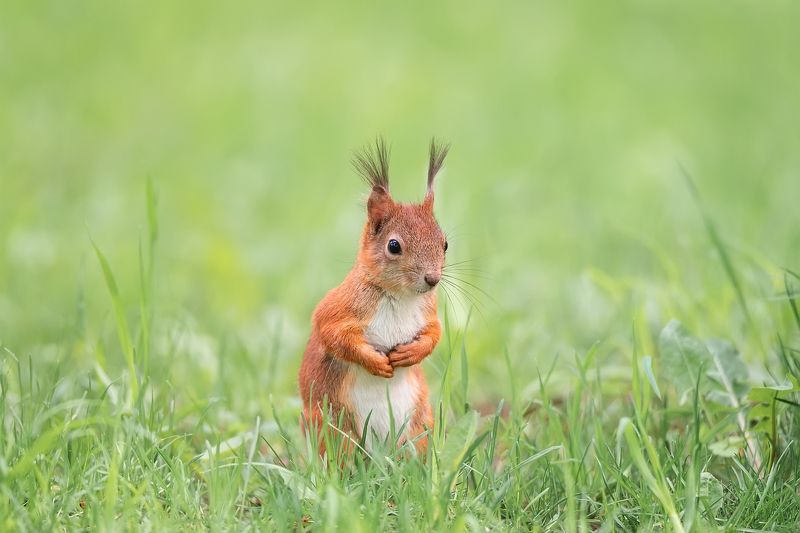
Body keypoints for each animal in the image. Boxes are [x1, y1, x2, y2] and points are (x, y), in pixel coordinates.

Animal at [299, 138, 450, 456]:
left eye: (444, 244)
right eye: (393, 245)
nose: (432, 279)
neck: (400, 296)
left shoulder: (427, 311)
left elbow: (434, 333)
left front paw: (411, 353)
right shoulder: (338, 308)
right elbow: (332, 334)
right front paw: (375, 362)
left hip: (420, 422)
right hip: (335, 428)